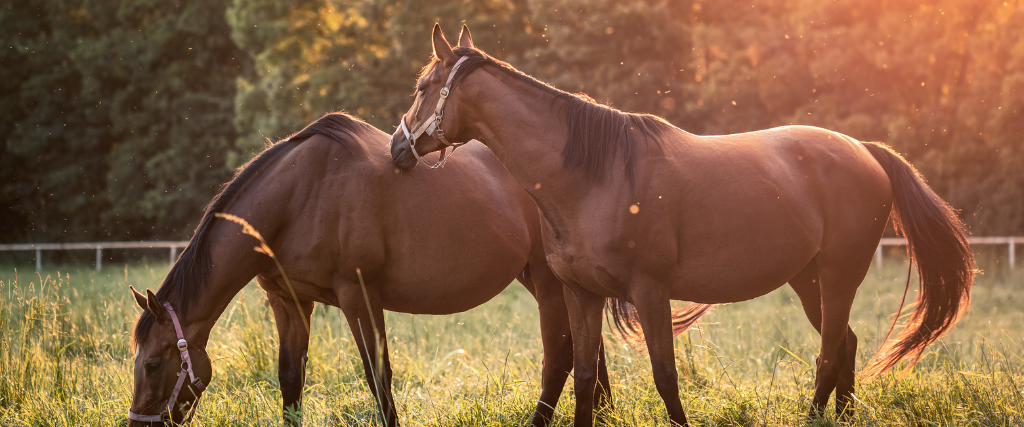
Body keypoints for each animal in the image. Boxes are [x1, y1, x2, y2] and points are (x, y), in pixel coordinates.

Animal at [126, 113, 617, 426]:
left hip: (549, 282)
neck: (300, 195)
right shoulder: (289, 301)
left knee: (562, 356)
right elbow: (290, 380)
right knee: (588, 348)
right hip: (547, 281)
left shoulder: (358, 296)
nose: (137, 425)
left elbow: (378, 378)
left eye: (153, 363)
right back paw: (605, 411)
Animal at [389, 25, 975, 427]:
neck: (593, 175)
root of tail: (865, 151)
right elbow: (584, 377)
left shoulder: (651, 292)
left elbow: (665, 378)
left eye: (422, 86)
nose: (397, 149)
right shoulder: (581, 293)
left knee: (830, 354)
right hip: (809, 280)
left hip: (837, 277)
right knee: (845, 345)